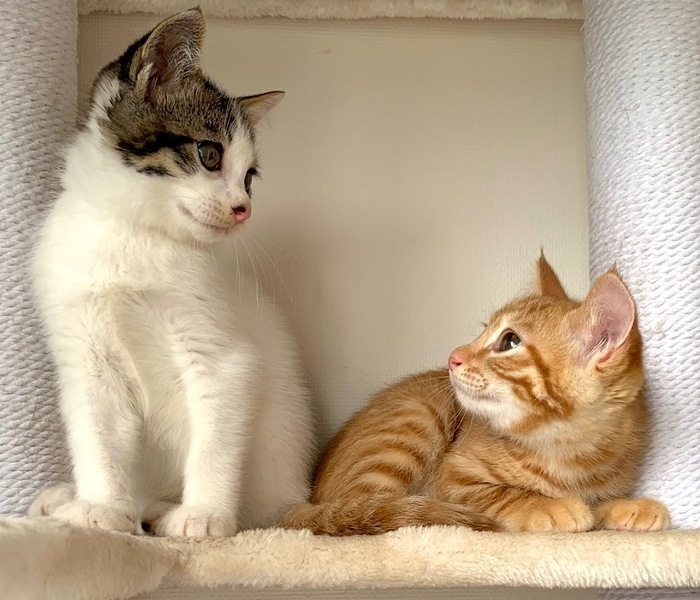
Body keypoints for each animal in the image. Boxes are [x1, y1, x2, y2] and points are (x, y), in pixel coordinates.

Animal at [28, 8, 313, 538]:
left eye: (249, 178)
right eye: (209, 154)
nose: (243, 209)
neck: (135, 233)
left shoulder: (223, 354)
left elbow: (215, 440)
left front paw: (204, 515)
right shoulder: (85, 354)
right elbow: (97, 433)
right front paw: (100, 506)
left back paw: (161, 510)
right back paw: (73, 501)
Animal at [280, 255, 670, 535]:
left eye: (510, 341)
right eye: (485, 331)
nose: (453, 357)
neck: (572, 452)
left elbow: (603, 499)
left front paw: (626, 506)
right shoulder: (453, 480)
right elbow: (500, 494)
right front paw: (547, 505)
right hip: (419, 416)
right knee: (366, 508)